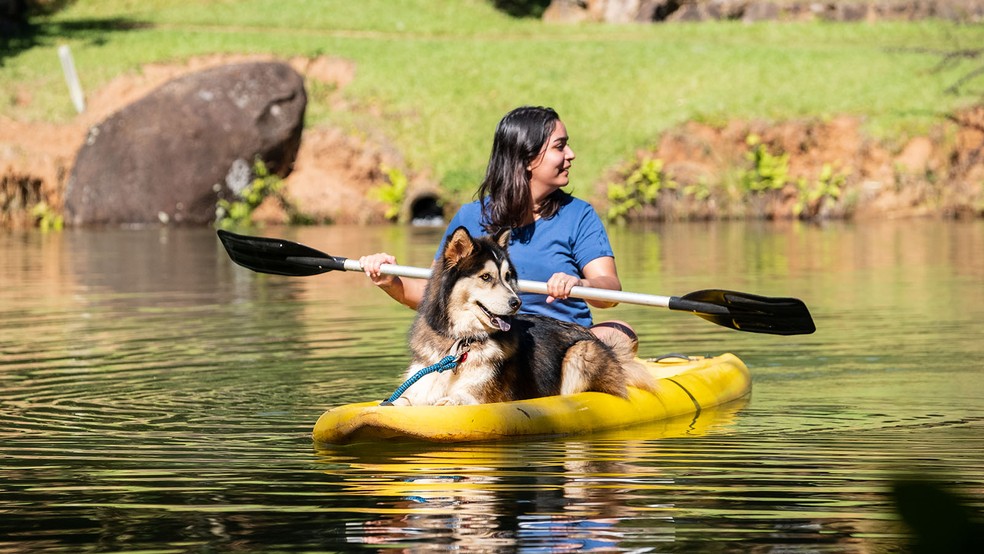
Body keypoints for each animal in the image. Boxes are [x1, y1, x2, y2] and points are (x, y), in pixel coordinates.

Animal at [392, 225, 652, 406]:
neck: (462, 343)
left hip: (581, 352)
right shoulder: (419, 386)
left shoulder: (481, 396)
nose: (516, 303)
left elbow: (456, 399)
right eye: (486, 277)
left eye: (507, 276)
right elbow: (399, 401)